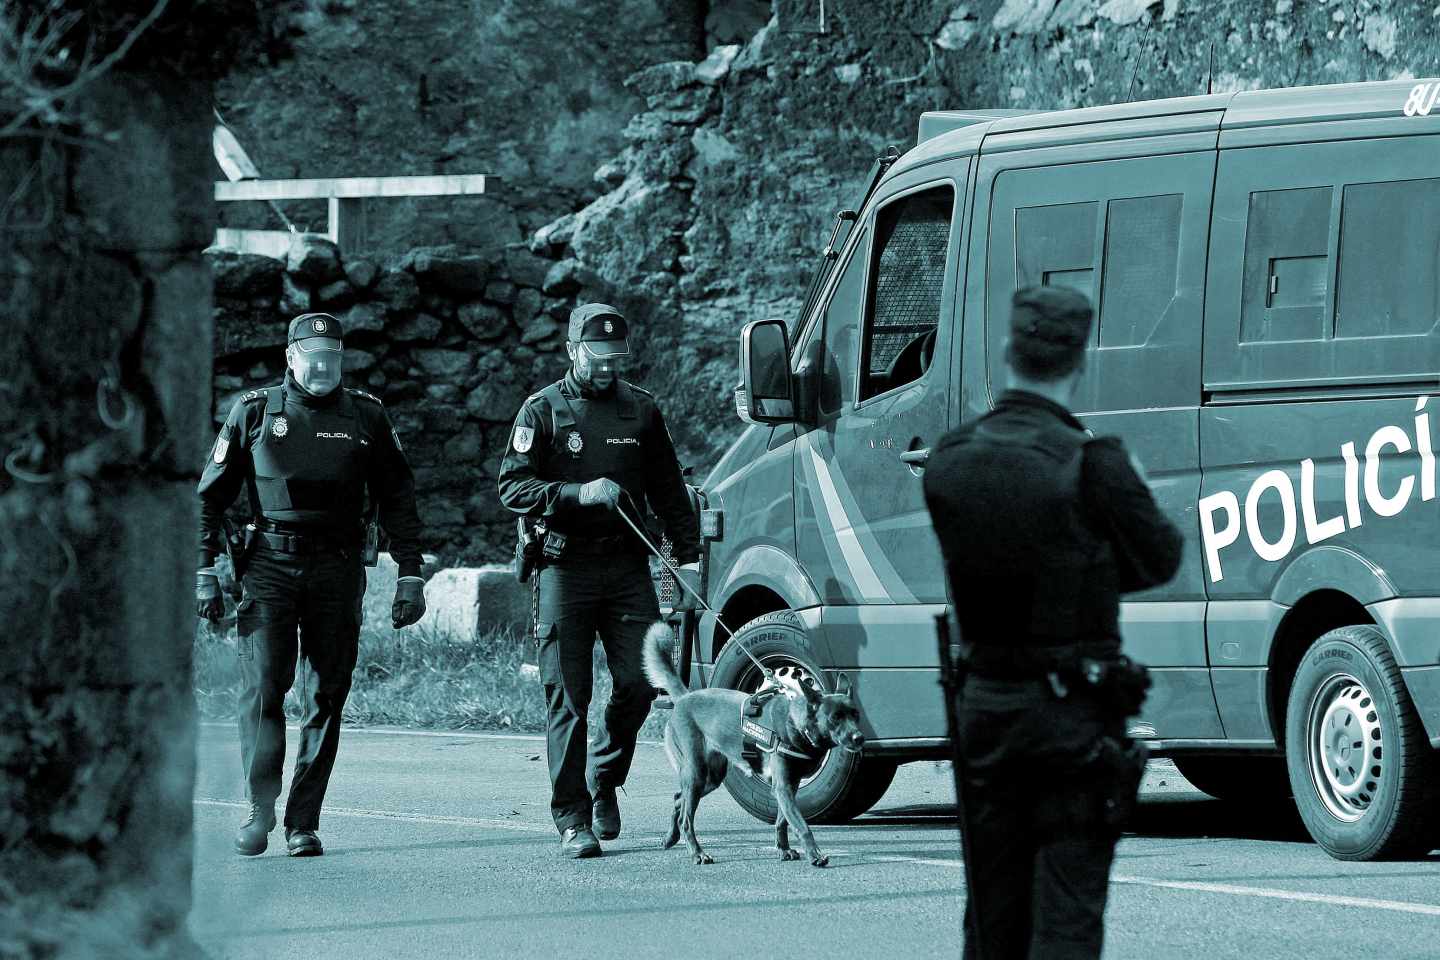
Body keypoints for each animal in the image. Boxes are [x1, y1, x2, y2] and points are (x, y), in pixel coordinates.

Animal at [645, 627, 864, 869]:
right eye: (835, 717)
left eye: (855, 714)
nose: (859, 738)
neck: (794, 723)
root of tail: (685, 697)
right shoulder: (783, 788)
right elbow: (801, 825)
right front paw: (814, 854)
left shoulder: (788, 787)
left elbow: (782, 822)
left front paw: (784, 849)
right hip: (696, 774)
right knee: (686, 817)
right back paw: (697, 853)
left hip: (711, 777)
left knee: (678, 799)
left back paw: (670, 838)